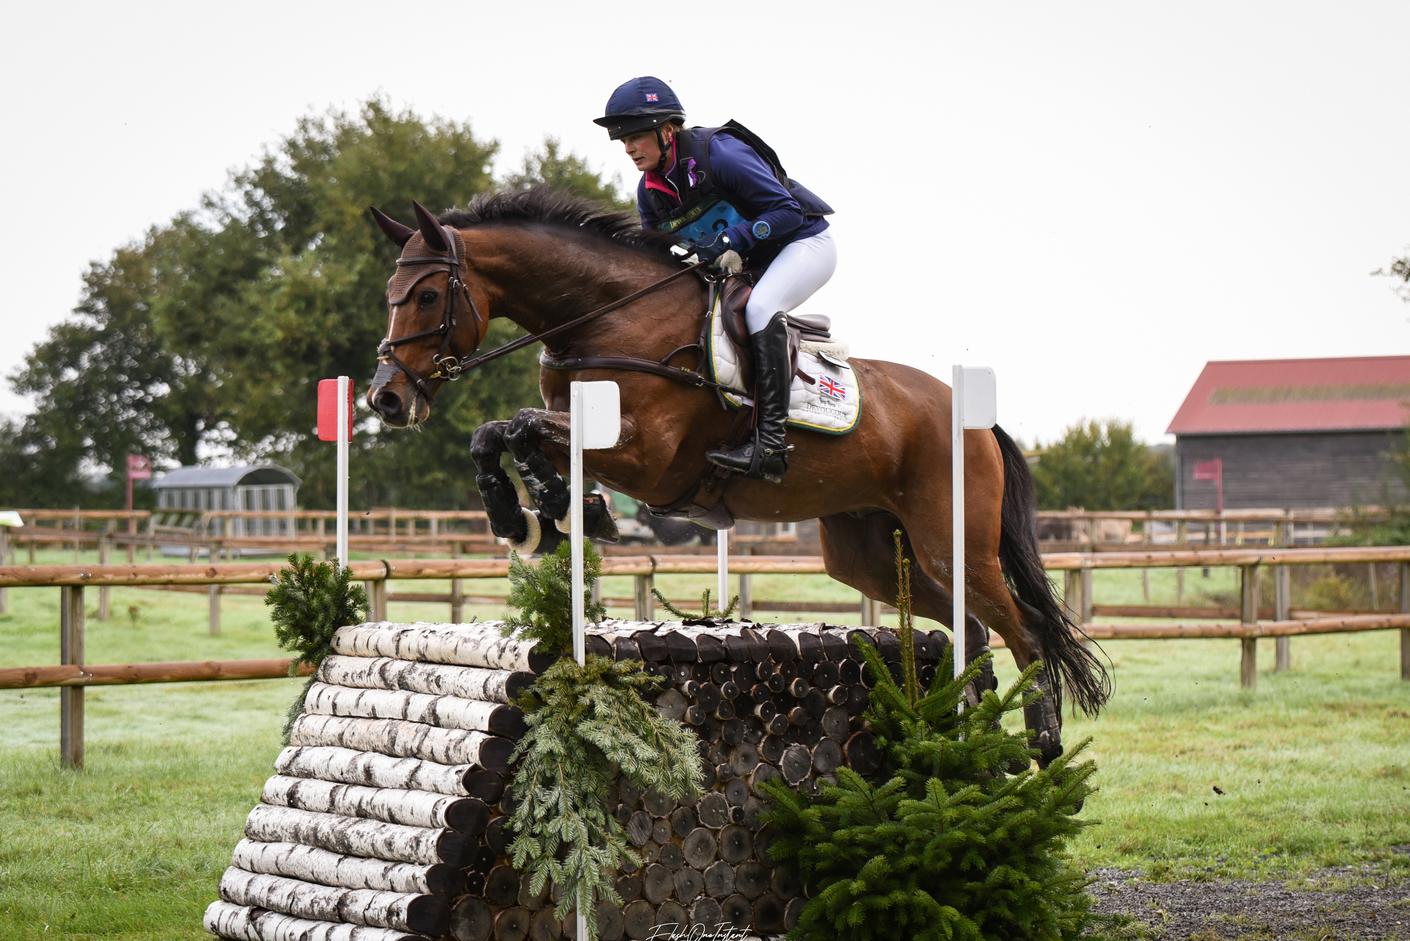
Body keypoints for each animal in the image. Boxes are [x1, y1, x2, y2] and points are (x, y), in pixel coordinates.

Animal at [366, 189, 1111, 767]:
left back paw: (1042, 742)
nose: (385, 399)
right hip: (864, 552)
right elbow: (495, 433)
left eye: (426, 294)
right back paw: (976, 737)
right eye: (389, 295)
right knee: (973, 627)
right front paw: (527, 516)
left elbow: (520, 427)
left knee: (1024, 629)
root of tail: (977, 421)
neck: (612, 316)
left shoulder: (647, 457)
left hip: (952, 541)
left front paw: (560, 506)